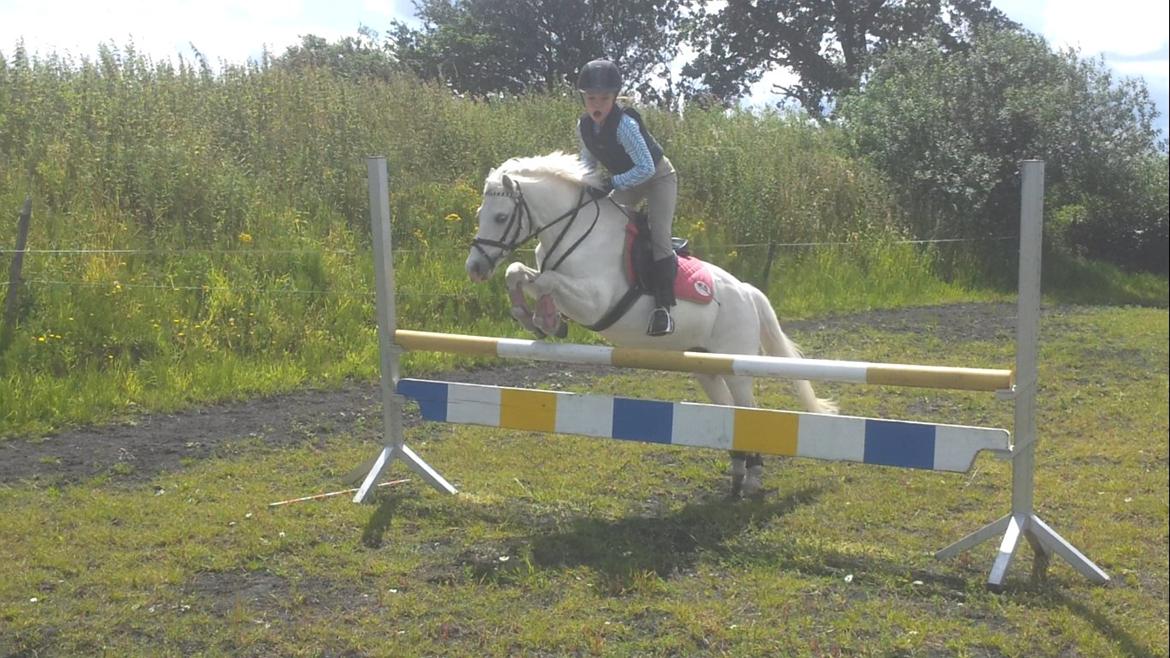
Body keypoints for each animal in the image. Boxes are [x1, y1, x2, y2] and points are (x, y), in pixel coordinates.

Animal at [460, 152, 837, 491]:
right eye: (479, 214)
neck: (574, 231)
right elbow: (518, 273)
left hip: (736, 364)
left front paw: (542, 316)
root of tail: (748, 292)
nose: (474, 268)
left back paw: (755, 474)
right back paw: (738, 470)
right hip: (705, 366)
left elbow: (545, 280)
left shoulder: (596, 301)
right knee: (730, 412)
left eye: (501, 217)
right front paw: (537, 318)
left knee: (748, 410)